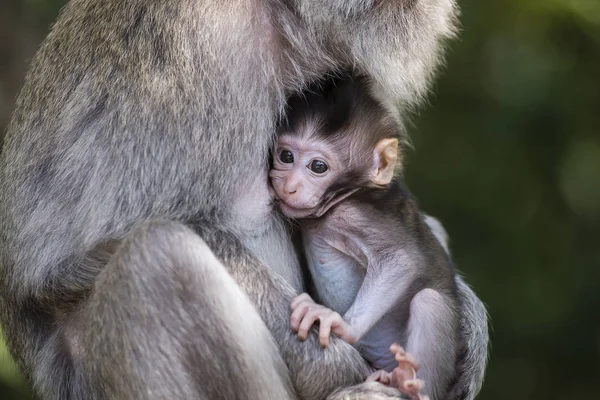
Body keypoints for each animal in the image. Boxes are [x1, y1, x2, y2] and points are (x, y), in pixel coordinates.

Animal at [270, 76, 462, 400]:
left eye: (318, 167)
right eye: (286, 156)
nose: (290, 186)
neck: (346, 195)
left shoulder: (354, 215)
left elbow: (401, 260)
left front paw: (341, 325)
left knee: (429, 301)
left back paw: (410, 384)